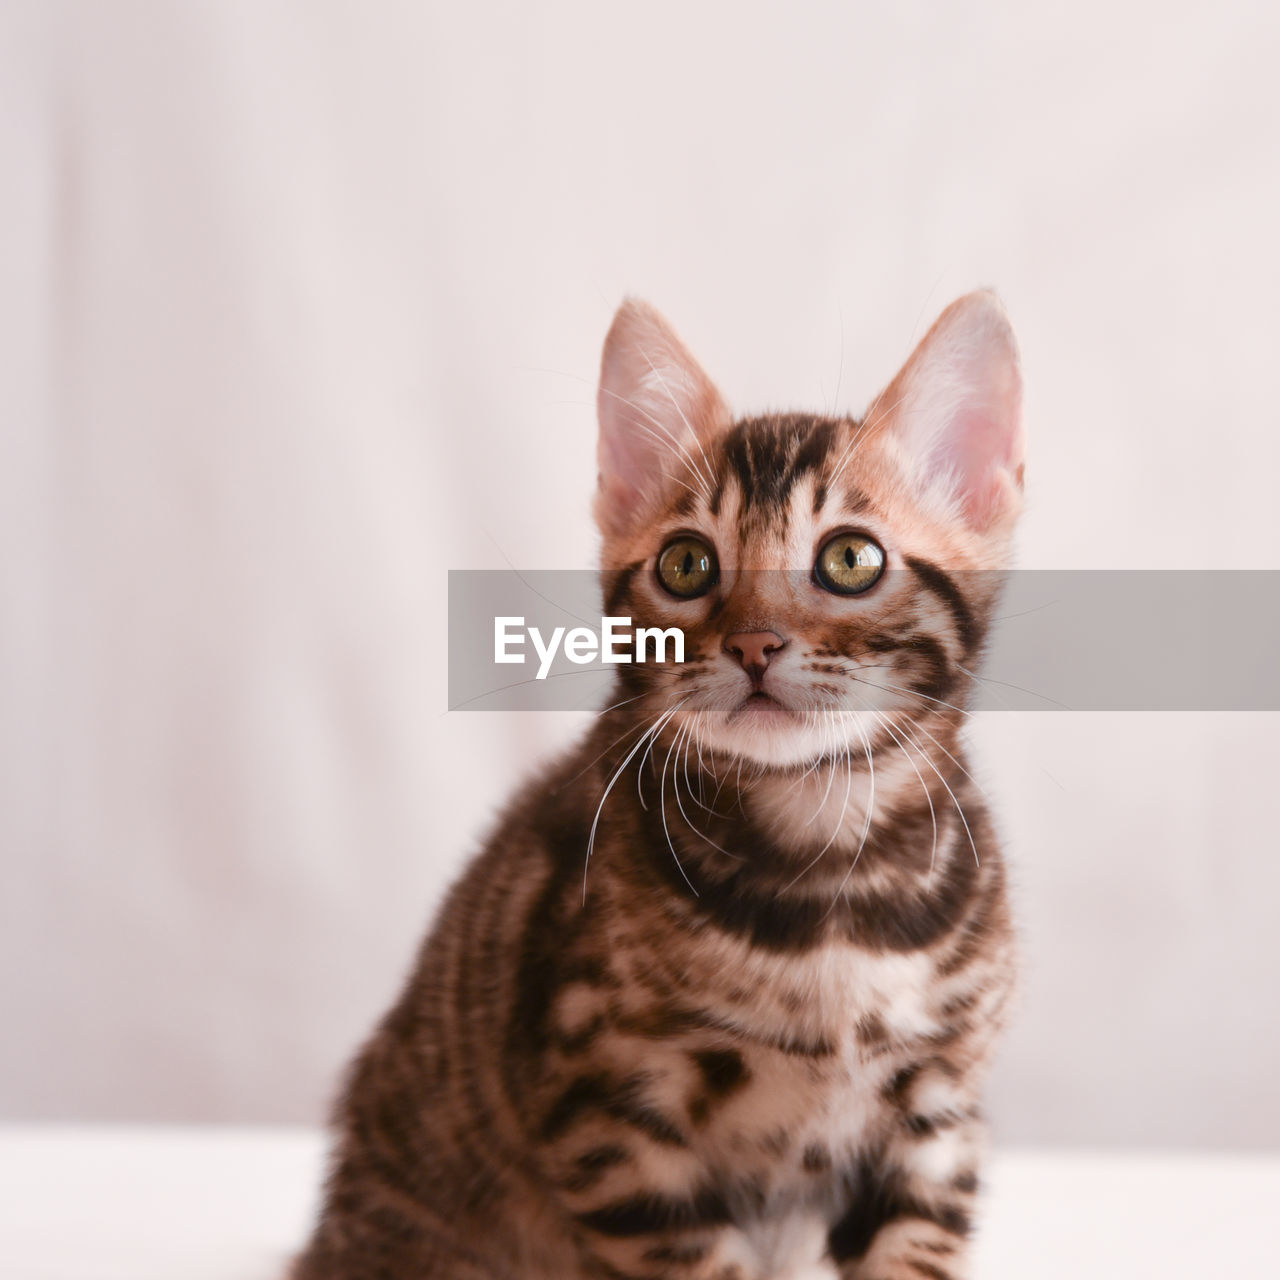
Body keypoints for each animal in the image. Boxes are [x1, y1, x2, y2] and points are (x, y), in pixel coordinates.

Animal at [294, 293, 1024, 1280]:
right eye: (686, 565)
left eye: (850, 560)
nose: (753, 644)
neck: (828, 867)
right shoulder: (610, 1127)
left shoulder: (936, 1118)